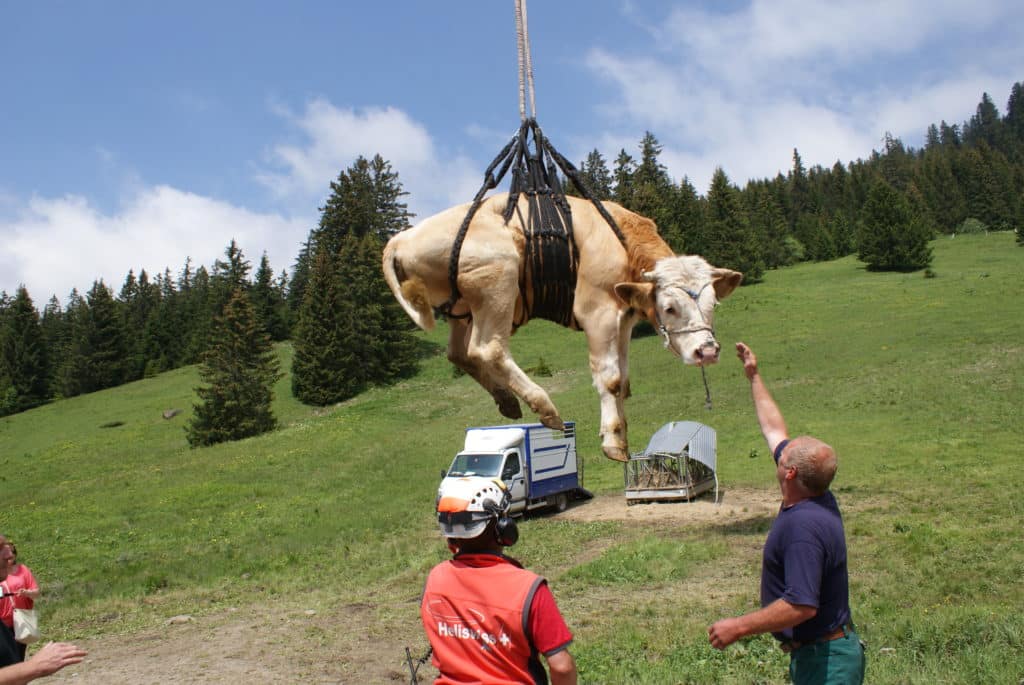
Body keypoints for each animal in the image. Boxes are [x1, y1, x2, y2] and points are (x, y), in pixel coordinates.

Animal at [380, 189, 741, 462]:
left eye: (712, 305)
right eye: (669, 307)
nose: (707, 351)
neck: (620, 239)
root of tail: (401, 239)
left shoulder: (623, 318)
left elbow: (623, 379)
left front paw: (620, 433)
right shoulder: (597, 312)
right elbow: (610, 379)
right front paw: (612, 441)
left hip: (462, 309)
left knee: (458, 353)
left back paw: (507, 400)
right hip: (497, 283)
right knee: (487, 349)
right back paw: (544, 406)